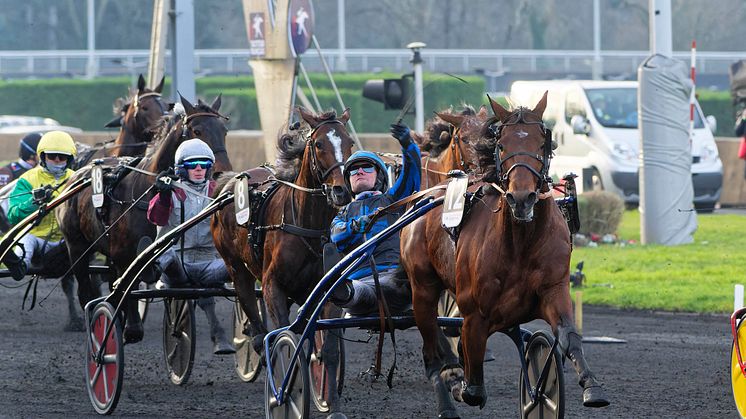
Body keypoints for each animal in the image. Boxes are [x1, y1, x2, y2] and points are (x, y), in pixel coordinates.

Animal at [56, 93, 230, 340]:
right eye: (197, 130)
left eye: (224, 130)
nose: (222, 171)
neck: (146, 190)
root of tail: (76, 176)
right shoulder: (124, 254)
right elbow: (126, 289)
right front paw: (130, 329)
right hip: (77, 247)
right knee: (84, 289)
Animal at [208, 108, 350, 414]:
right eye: (318, 144)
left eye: (349, 142)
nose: (341, 191)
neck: (306, 225)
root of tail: (231, 182)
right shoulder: (273, 286)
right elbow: (284, 340)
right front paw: (283, 393)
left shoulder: (327, 291)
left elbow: (328, 349)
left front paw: (332, 404)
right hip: (236, 267)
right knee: (252, 310)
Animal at [398, 93, 608, 418]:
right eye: (501, 144)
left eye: (542, 142)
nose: (522, 198)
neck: (521, 241)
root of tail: (426, 196)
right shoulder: (474, 311)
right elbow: (472, 377)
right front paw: (462, 384)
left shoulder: (554, 289)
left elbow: (568, 336)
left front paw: (586, 386)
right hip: (422, 288)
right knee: (432, 352)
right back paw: (446, 399)